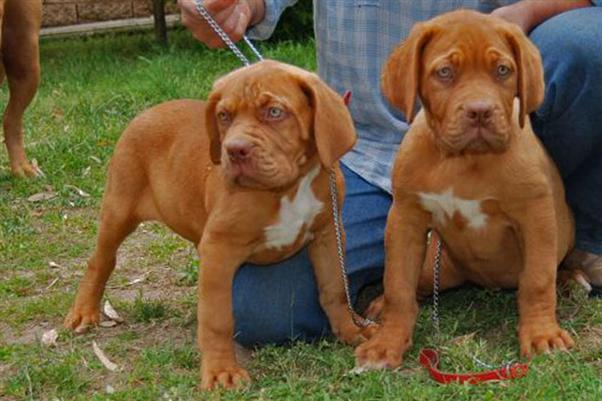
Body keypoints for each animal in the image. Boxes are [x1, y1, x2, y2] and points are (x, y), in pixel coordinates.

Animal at [62, 61, 370, 390]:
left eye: (275, 112)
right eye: (224, 116)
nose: (234, 150)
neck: (289, 187)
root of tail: (148, 111)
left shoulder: (328, 234)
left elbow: (335, 288)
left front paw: (351, 330)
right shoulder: (220, 249)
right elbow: (217, 318)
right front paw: (223, 370)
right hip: (119, 207)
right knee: (101, 259)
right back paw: (83, 311)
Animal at [354, 10, 576, 368]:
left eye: (503, 70)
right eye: (444, 72)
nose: (480, 111)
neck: (466, 160)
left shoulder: (536, 215)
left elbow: (538, 280)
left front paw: (542, 334)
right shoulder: (405, 218)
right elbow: (398, 285)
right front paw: (386, 344)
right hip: (437, 267)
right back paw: (379, 305)